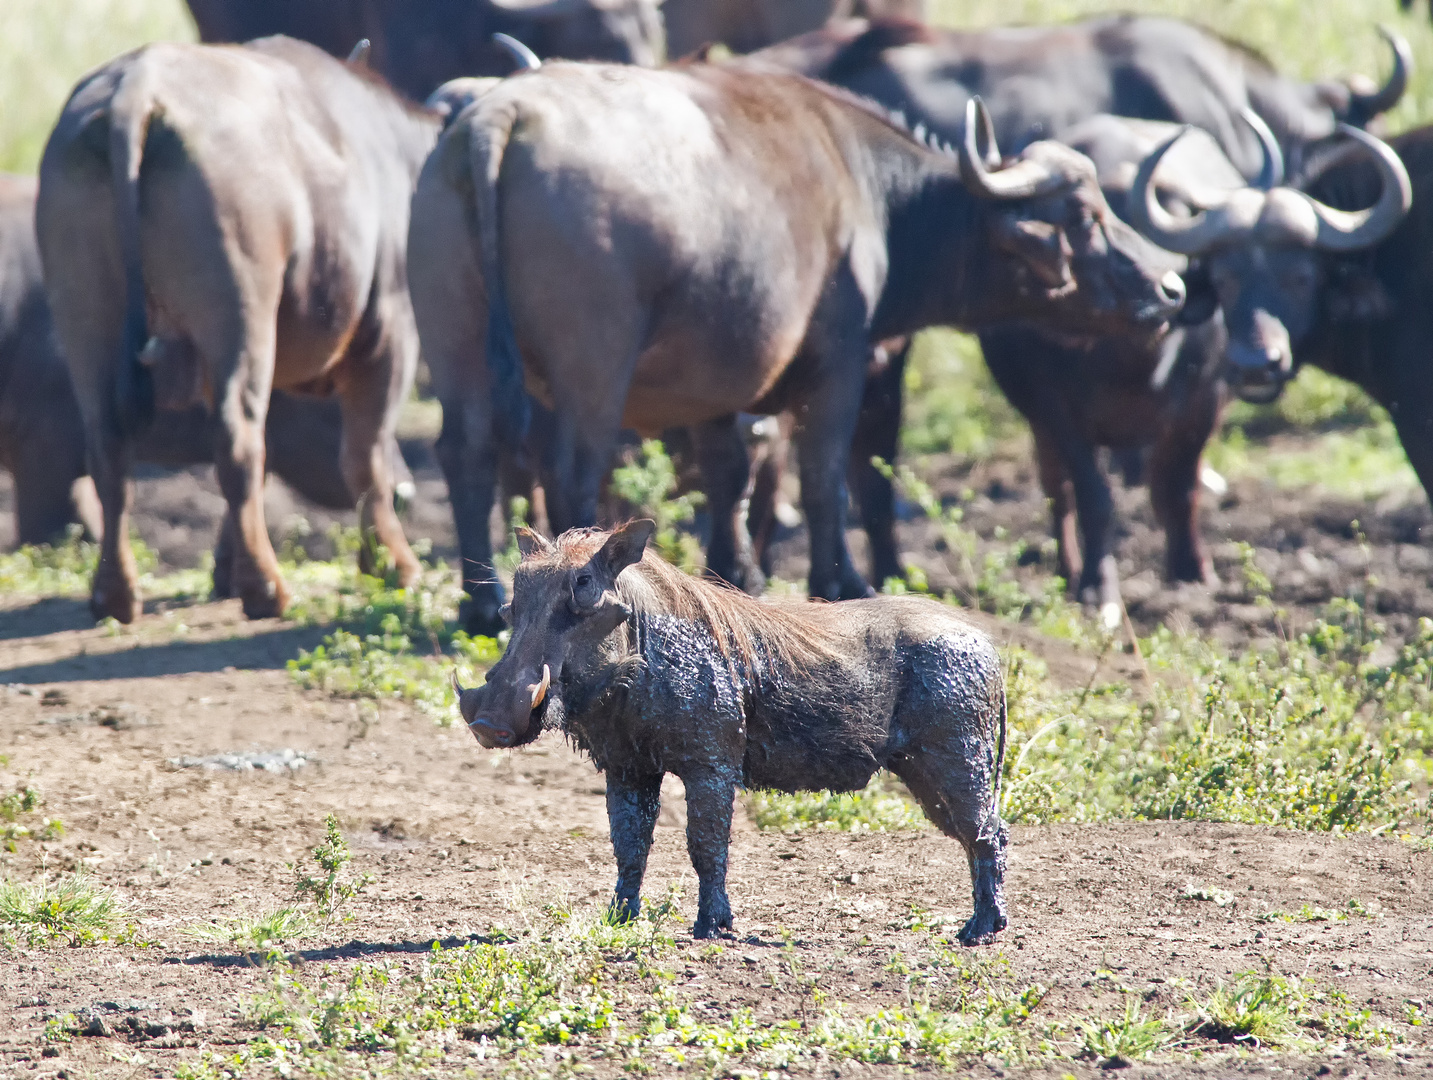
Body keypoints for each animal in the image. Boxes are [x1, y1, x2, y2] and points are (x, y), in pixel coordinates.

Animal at [40, 35, 435, 621]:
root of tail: (136, 85)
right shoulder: (390, 331)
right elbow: (365, 456)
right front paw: (392, 564)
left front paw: (222, 570)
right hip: (240, 316)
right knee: (238, 443)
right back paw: (266, 587)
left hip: (88, 319)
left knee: (109, 446)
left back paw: (116, 593)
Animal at [409, 63, 1180, 635]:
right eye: (1083, 214)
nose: (1170, 286)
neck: (868, 186)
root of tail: (499, 114)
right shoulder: (839, 363)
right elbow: (822, 478)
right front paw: (840, 578)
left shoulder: (713, 381)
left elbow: (728, 474)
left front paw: (736, 572)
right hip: (593, 367)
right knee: (573, 465)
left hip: (456, 347)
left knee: (467, 451)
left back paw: (481, 603)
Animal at [455, 521, 1008, 939]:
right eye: (510, 606)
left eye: (585, 590)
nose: (488, 724)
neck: (638, 663)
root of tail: (987, 645)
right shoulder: (627, 768)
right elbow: (629, 846)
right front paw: (620, 920)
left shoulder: (712, 765)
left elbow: (706, 845)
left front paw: (712, 927)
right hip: (926, 771)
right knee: (979, 833)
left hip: (956, 757)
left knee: (987, 833)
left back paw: (981, 930)